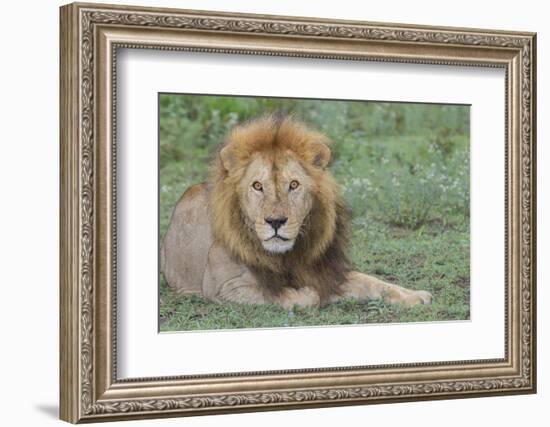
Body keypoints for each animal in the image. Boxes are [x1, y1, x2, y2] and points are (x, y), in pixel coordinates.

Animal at [162, 113, 434, 310]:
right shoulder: (223, 287)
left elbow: (374, 282)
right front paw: (312, 294)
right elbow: (297, 297)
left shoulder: (327, 271)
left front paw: (415, 295)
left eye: (293, 185)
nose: (275, 222)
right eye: (257, 186)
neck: (287, 256)